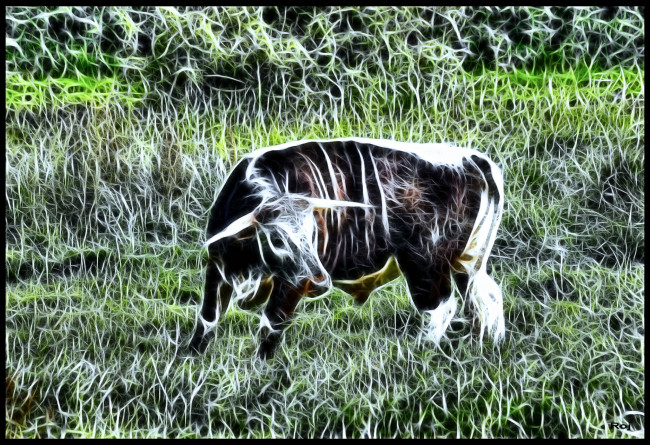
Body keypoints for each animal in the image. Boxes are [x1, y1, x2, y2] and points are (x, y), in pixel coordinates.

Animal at [190, 138, 505, 359]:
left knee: (441, 307)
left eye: (313, 232)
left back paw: (421, 351)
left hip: (425, 264)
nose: (319, 282)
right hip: (467, 263)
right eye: (277, 239)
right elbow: (207, 318)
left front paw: (260, 369)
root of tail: (471, 158)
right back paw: (487, 344)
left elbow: (271, 325)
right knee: (486, 299)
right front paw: (192, 357)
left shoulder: (289, 285)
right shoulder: (216, 267)